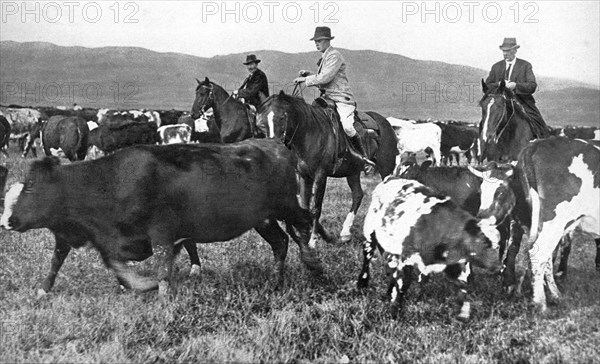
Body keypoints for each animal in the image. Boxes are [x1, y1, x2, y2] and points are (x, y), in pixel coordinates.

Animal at [1, 139, 324, 296]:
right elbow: (100, 264)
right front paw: (43, 291)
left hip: (284, 205)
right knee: (280, 241)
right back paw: (277, 281)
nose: (7, 221)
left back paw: (314, 264)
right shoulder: (100, 239)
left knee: (305, 222)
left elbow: (161, 271)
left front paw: (158, 295)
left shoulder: (162, 234)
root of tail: (278, 145)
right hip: (262, 217)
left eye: (30, 187)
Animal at [258, 91, 398, 247]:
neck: (310, 134)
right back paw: (345, 232)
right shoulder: (304, 176)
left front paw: (313, 240)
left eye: (282, 117)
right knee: (358, 195)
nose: (272, 144)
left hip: (386, 167)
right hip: (353, 172)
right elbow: (304, 206)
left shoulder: (321, 175)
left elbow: (315, 208)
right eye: (263, 121)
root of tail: (384, 122)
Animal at [356, 177, 502, 322]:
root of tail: (391, 178)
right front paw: (395, 312)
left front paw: (463, 314)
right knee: (367, 256)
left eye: (498, 244)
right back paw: (362, 283)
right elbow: (404, 283)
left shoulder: (453, 263)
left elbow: (462, 285)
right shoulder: (406, 257)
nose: (500, 267)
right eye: (484, 242)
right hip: (369, 232)